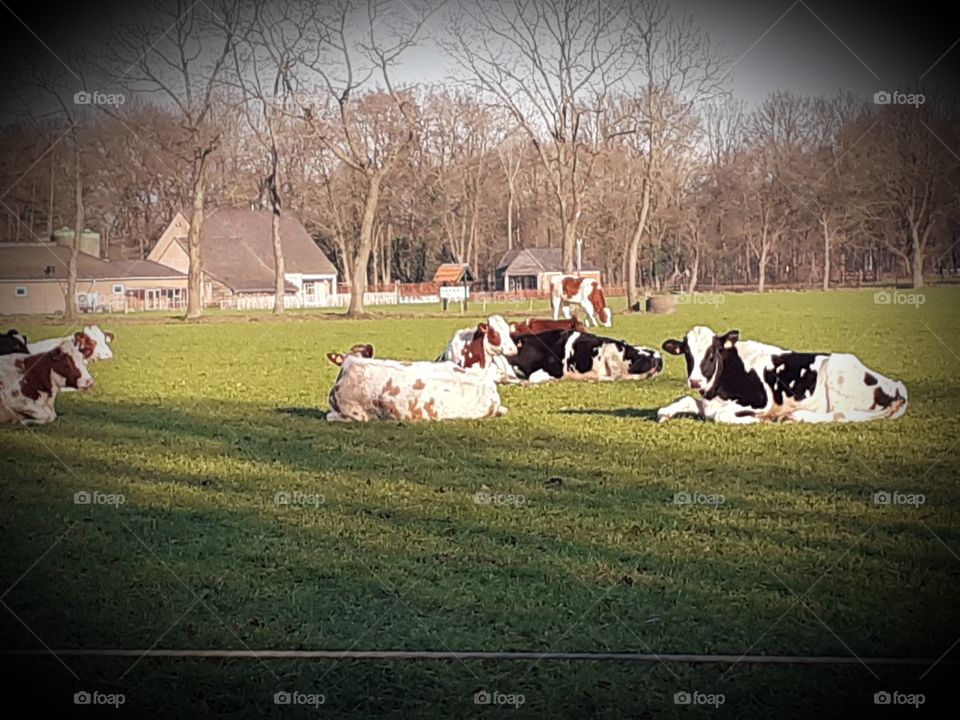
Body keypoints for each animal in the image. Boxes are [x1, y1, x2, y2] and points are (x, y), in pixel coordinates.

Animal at [657, 326, 908, 424]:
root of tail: (895, 385)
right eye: (687, 353)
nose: (695, 380)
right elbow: (687, 400)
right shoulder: (709, 401)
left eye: (712, 353)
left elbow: (721, 415)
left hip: (836, 379)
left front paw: (757, 419)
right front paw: (665, 413)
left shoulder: (761, 401)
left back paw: (795, 416)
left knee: (839, 415)